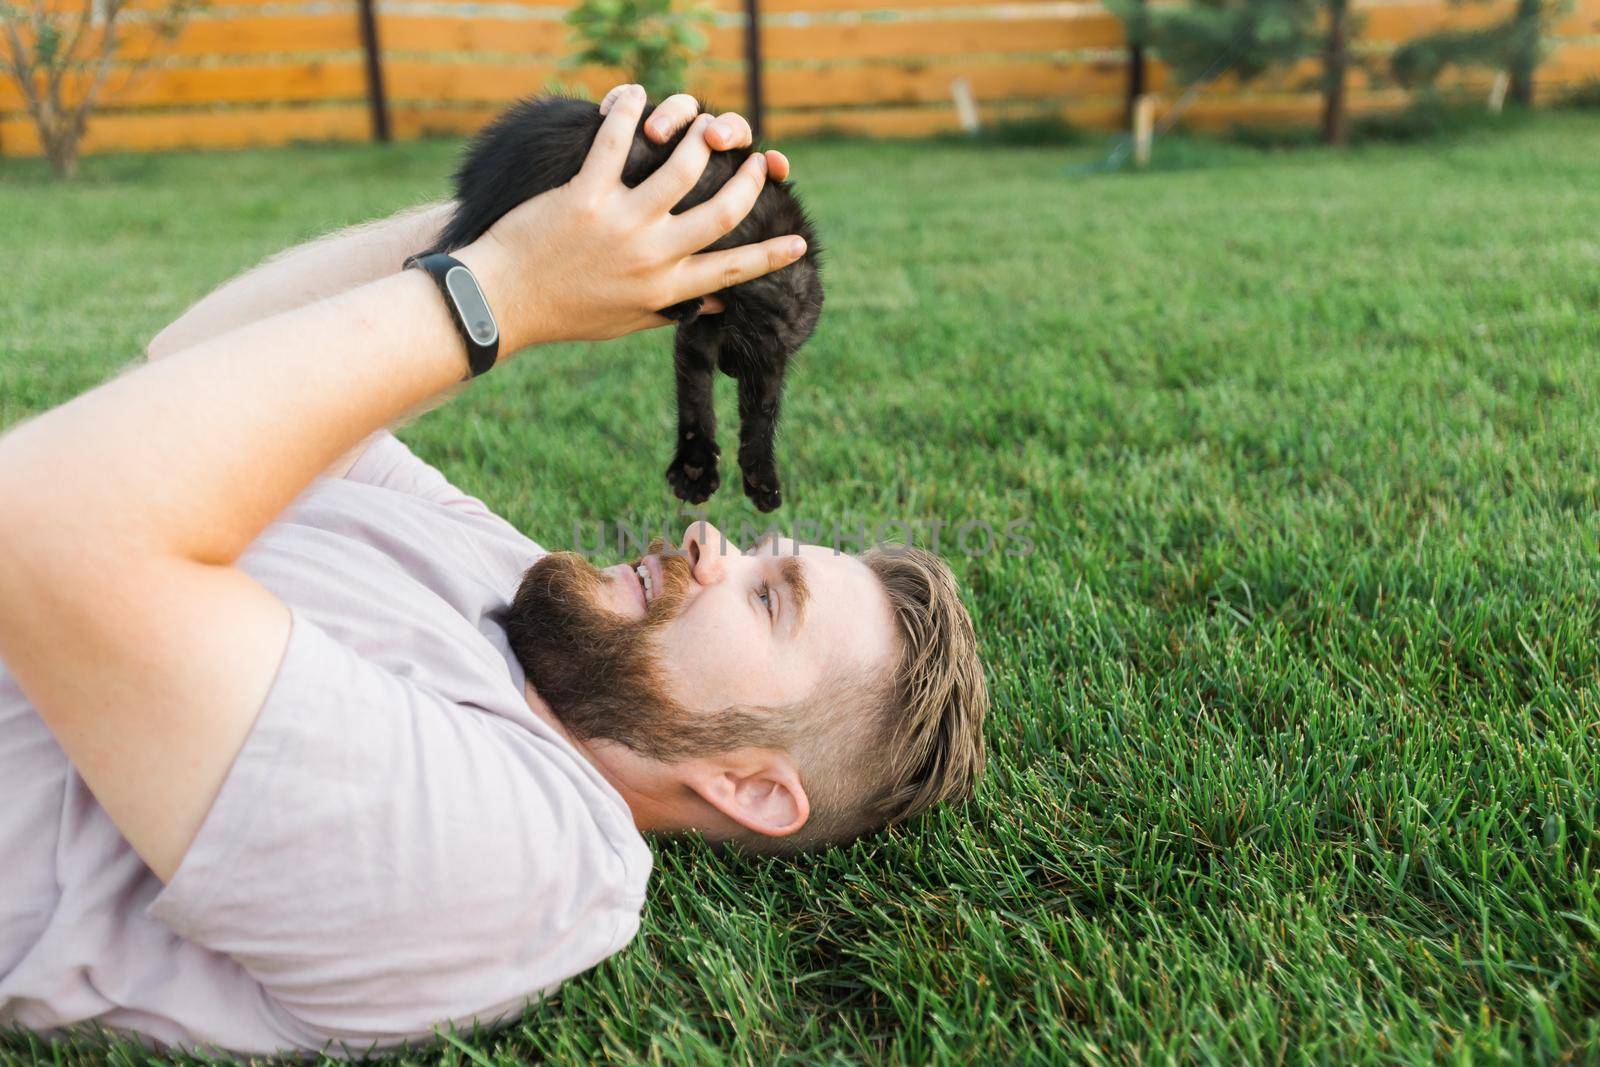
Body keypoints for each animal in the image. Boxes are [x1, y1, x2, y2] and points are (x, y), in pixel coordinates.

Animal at [422, 94, 825, 511]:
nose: (728, 367)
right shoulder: (766, 335)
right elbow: (757, 409)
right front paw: (748, 477)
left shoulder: (710, 337)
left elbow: (698, 394)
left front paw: (696, 467)